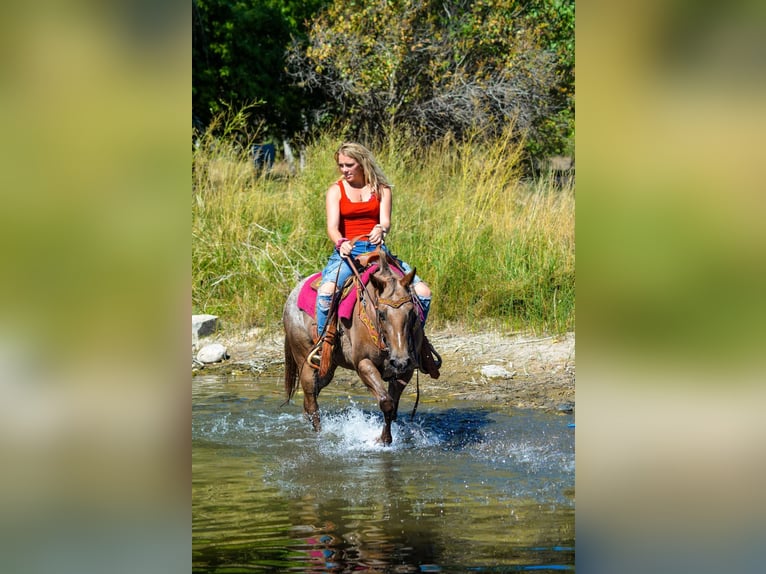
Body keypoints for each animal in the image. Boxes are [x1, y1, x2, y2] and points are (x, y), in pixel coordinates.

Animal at [284, 248, 424, 446]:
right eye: (381, 314)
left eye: (412, 312)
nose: (400, 360)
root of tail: (291, 296)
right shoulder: (363, 363)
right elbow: (386, 402)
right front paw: (383, 440)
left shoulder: (406, 370)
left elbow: (393, 407)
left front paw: (385, 439)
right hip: (305, 362)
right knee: (311, 403)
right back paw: (320, 436)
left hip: (326, 369)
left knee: (309, 401)